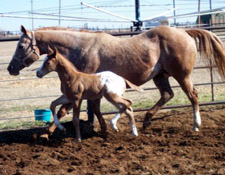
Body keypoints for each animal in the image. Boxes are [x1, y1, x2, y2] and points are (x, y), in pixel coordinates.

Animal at [7, 25, 225, 134]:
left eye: (21, 46)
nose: (10, 68)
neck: (80, 48)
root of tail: (185, 32)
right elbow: (92, 109)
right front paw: (102, 127)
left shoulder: (79, 88)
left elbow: (63, 109)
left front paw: (48, 132)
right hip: (161, 76)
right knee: (167, 95)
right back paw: (147, 120)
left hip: (182, 75)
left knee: (193, 95)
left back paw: (196, 125)